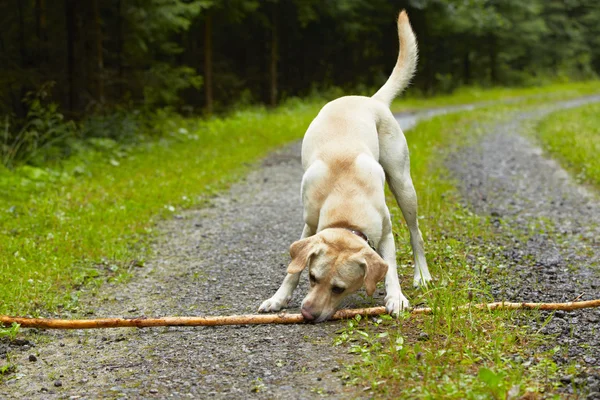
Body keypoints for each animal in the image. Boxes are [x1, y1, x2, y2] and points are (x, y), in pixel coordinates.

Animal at [258, 10, 432, 322]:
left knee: (416, 234)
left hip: (403, 185)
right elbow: (292, 269)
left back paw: (422, 275)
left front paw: (396, 296)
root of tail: (370, 100)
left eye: (339, 288)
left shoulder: (386, 232)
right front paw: (278, 298)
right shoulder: (309, 225)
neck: (345, 199)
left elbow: (391, 267)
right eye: (312, 277)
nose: (307, 314)